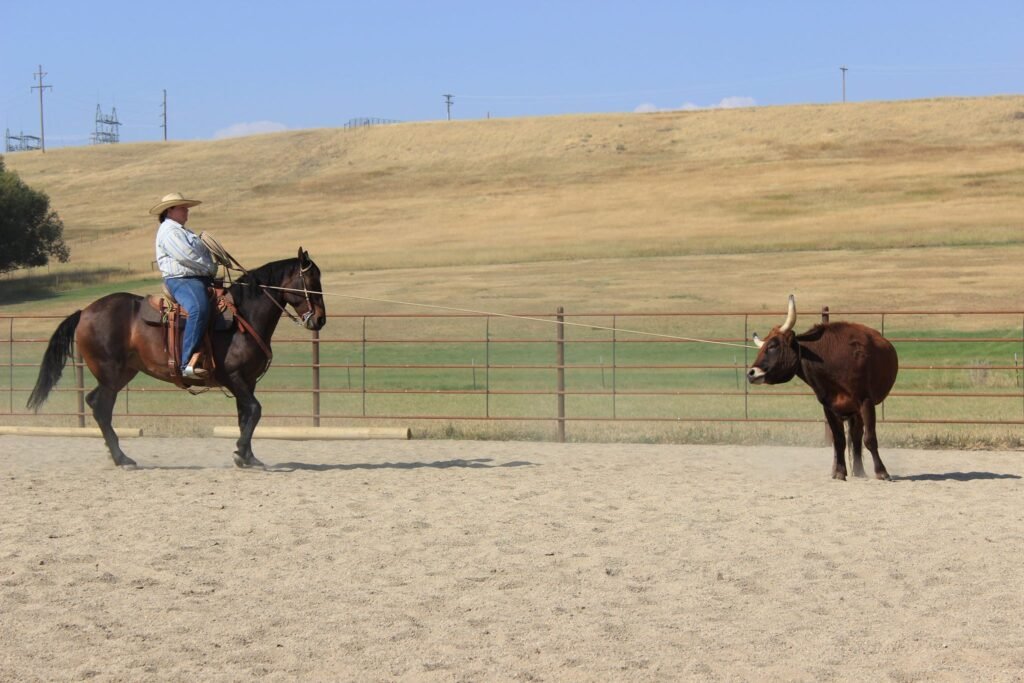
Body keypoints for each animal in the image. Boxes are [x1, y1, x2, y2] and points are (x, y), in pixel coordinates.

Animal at [27, 248, 326, 469]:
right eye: (312, 281)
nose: (321, 319)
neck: (243, 315)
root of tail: (85, 311)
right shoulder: (235, 377)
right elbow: (254, 410)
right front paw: (242, 452)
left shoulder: (247, 381)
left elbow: (245, 415)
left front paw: (248, 457)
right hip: (110, 374)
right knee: (101, 407)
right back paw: (122, 458)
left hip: (123, 373)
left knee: (97, 404)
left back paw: (117, 455)